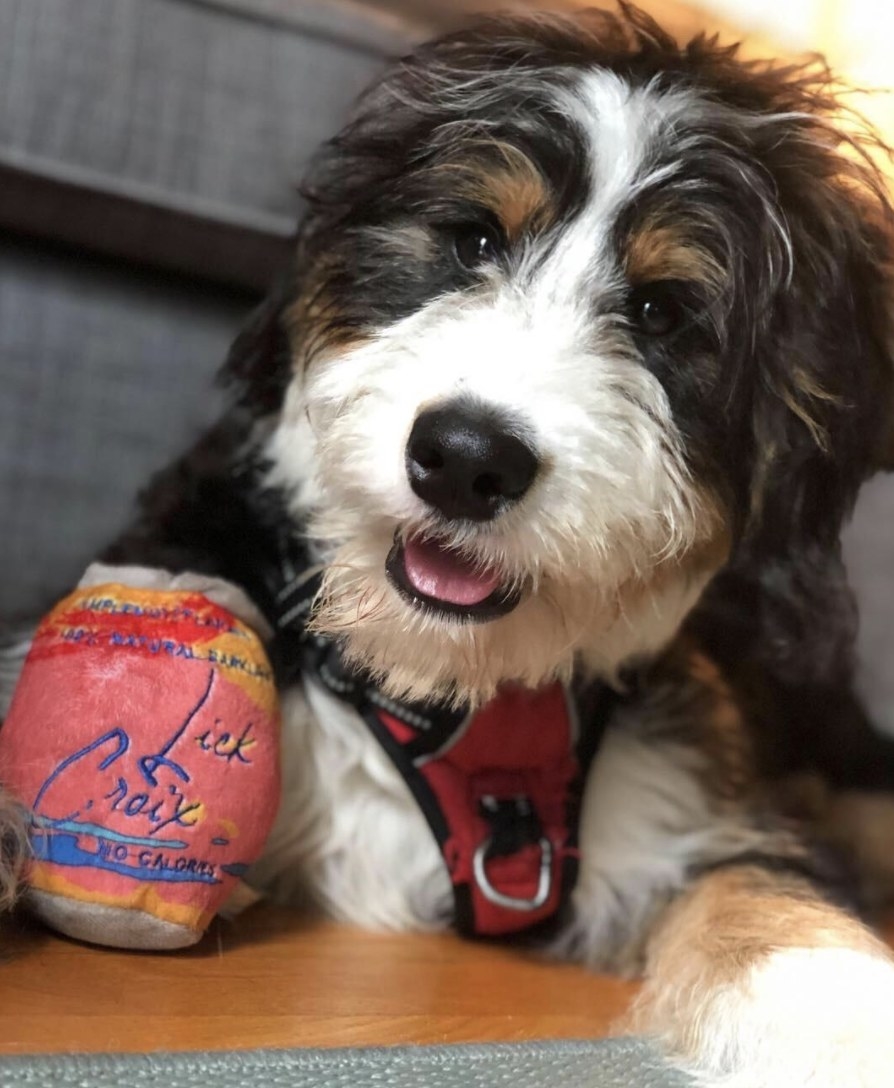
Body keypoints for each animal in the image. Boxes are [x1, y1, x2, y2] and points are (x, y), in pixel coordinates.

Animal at [1, 8, 894, 1088]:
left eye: (659, 310)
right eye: (473, 239)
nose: (467, 459)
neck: (442, 679)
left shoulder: (692, 795)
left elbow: (757, 877)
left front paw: (836, 1009)